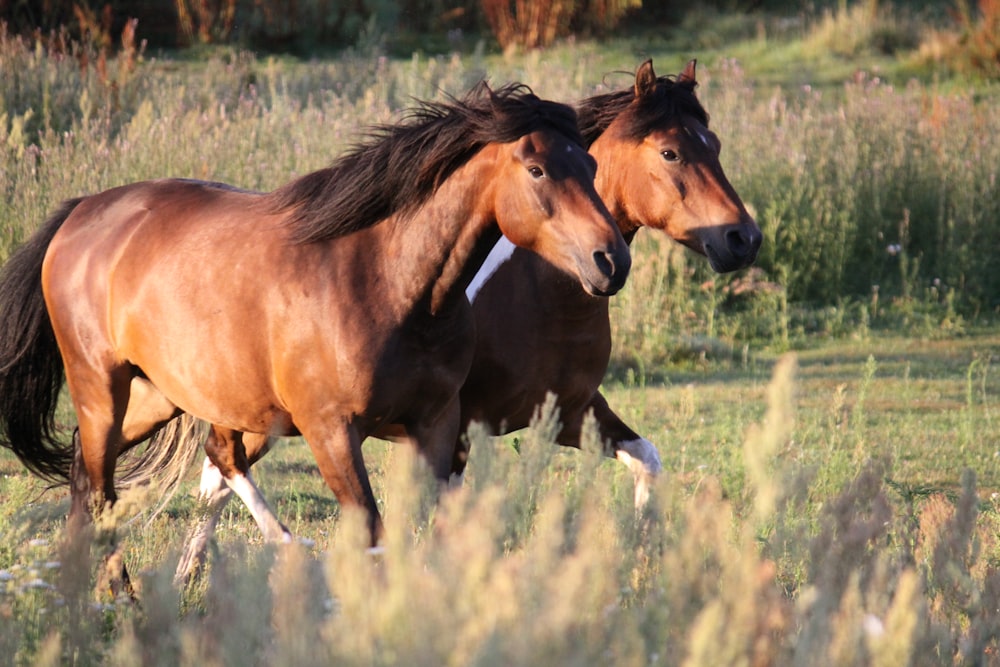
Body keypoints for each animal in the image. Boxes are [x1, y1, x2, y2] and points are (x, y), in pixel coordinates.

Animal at [0, 82, 628, 576]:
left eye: (593, 167)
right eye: (537, 169)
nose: (611, 261)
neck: (387, 282)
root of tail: (84, 212)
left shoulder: (436, 424)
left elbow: (422, 529)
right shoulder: (332, 431)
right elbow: (371, 532)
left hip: (162, 396)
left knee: (97, 476)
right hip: (102, 388)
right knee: (104, 488)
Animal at [176, 58, 760, 584]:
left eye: (716, 147)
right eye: (671, 152)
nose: (743, 239)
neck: (539, 291)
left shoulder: (570, 413)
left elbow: (647, 459)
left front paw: (640, 568)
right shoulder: (456, 429)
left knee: (218, 471)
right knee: (218, 465)